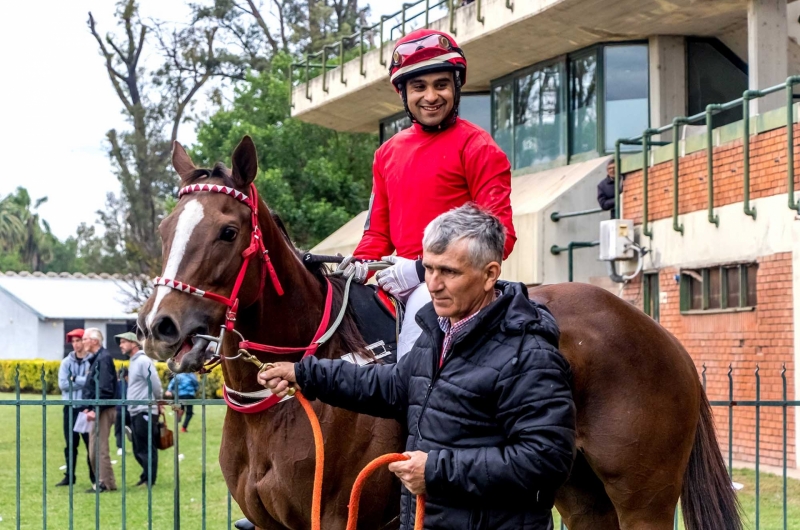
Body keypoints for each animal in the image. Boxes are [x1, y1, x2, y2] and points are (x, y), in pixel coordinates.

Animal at [141, 136, 740, 528]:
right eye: (166, 229)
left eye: (227, 230)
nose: (159, 325)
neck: (276, 409)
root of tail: (661, 337)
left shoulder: (336, 517)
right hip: (579, 493)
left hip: (644, 499)